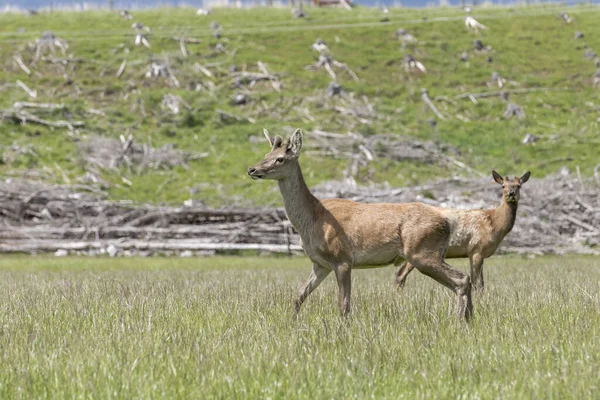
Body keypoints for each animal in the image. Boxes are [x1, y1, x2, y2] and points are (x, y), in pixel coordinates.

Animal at [248, 129, 474, 322]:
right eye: (266, 153)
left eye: (280, 158)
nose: (252, 169)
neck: (312, 219)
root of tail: (447, 220)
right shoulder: (320, 264)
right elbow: (299, 296)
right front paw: (291, 322)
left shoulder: (342, 259)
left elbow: (343, 305)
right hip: (431, 253)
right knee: (465, 279)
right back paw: (470, 319)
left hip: (423, 252)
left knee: (462, 279)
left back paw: (460, 322)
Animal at [398, 169, 528, 290]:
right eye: (503, 186)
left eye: (518, 185)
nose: (511, 194)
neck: (494, 224)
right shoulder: (477, 249)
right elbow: (478, 284)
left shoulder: (472, 253)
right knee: (401, 273)